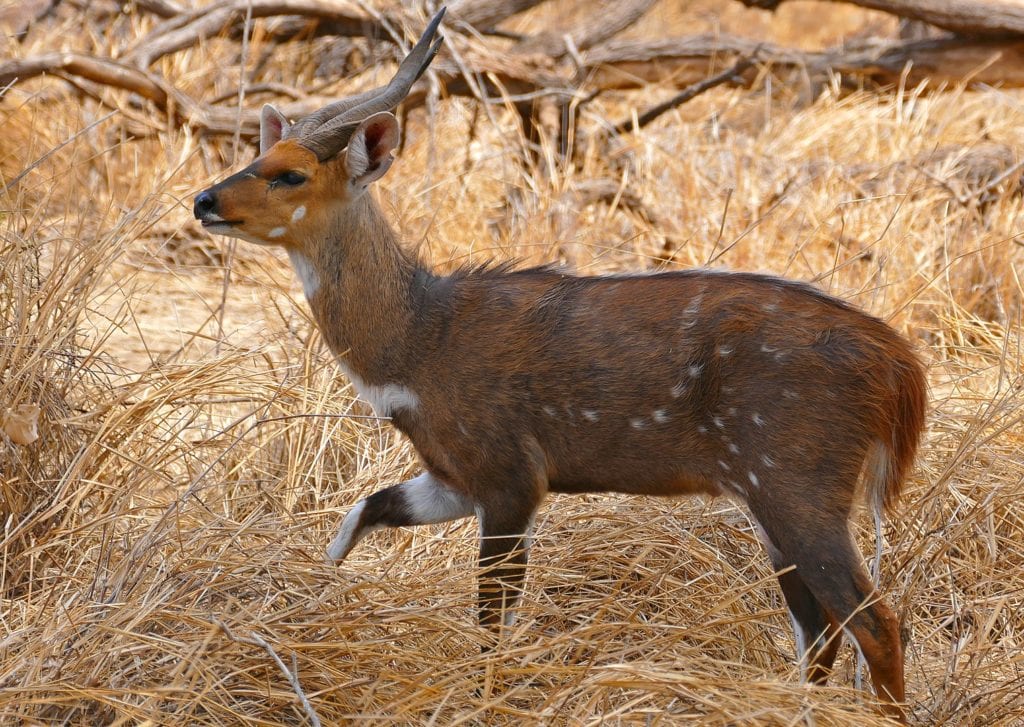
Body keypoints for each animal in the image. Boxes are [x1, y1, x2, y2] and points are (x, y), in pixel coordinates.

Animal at [193, 9, 925, 720]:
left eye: (290, 173)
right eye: (259, 153)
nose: (204, 200)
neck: (423, 334)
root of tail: (897, 362)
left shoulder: (512, 480)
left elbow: (491, 619)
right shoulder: (453, 477)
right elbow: (363, 511)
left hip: (796, 491)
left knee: (875, 623)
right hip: (771, 503)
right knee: (821, 628)